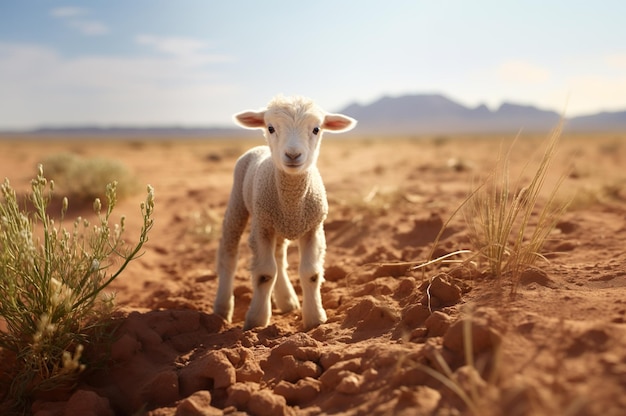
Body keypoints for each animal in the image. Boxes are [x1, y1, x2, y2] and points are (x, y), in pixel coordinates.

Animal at [212, 96, 354, 330]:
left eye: (316, 129)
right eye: (270, 128)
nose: (293, 155)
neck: (291, 204)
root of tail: (260, 148)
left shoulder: (313, 228)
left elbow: (311, 273)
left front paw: (315, 318)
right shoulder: (262, 227)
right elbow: (264, 274)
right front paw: (257, 320)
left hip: (276, 226)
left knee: (279, 257)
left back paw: (287, 301)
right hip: (238, 203)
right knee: (229, 254)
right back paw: (222, 310)